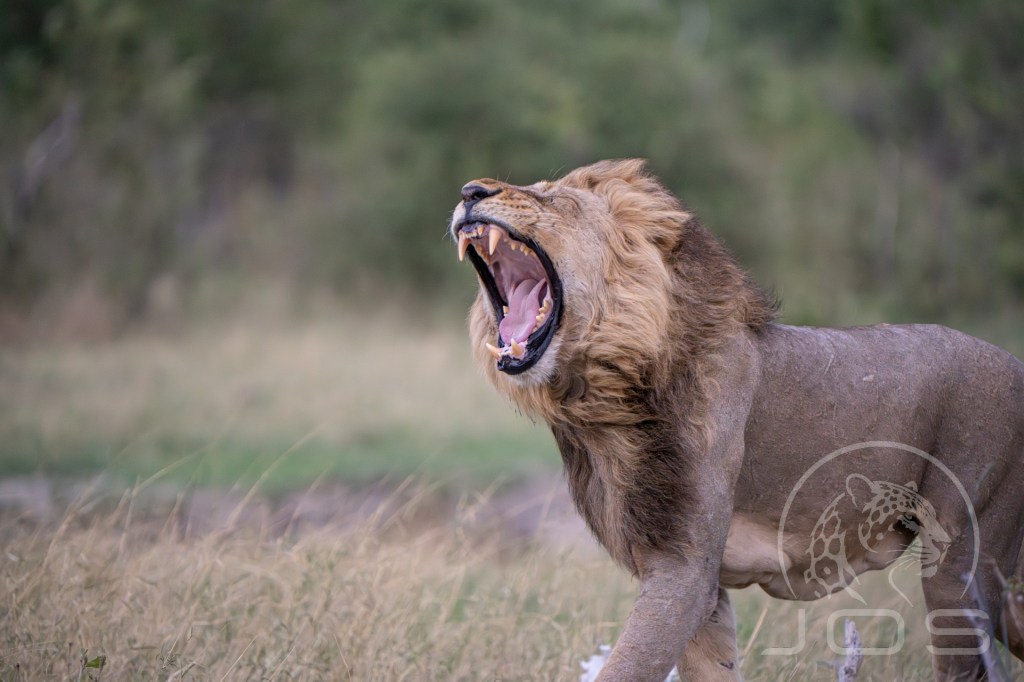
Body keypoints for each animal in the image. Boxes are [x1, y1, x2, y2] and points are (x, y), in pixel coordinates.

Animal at [449, 159, 1024, 681]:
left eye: (552, 197)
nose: (469, 190)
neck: (599, 405)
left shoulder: (685, 570)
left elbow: (626, 668)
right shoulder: (702, 586)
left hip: (961, 562)